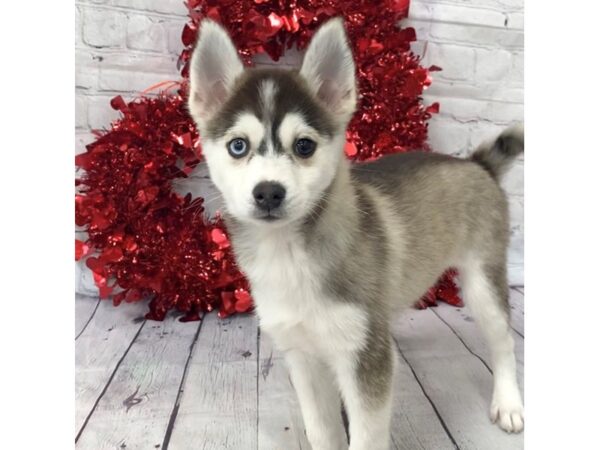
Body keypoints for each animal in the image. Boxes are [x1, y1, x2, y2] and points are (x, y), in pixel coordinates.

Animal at [188, 17, 524, 450]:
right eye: (237, 146)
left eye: (304, 146)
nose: (268, 192)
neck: (289, 254)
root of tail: (477, 164)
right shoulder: (302, 356)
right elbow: (322, 429)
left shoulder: (365, 358)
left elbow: (366, 436)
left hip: (483, 280)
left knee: (503, 342)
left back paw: (509, 403)